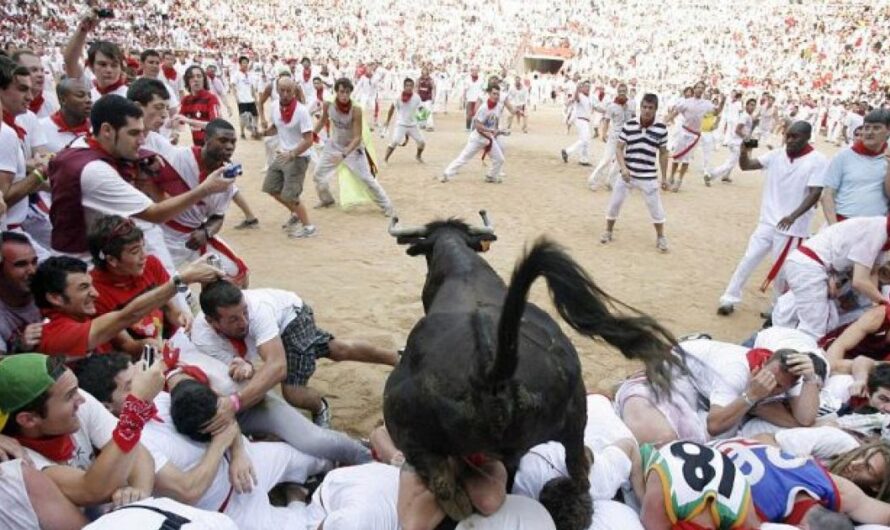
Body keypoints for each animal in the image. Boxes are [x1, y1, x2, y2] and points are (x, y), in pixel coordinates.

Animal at [382, 211, 680, 528]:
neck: (461, 267)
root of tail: (491, 369)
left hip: (405, 430)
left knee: (445, 487)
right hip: (575, 415)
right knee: (577, 470)